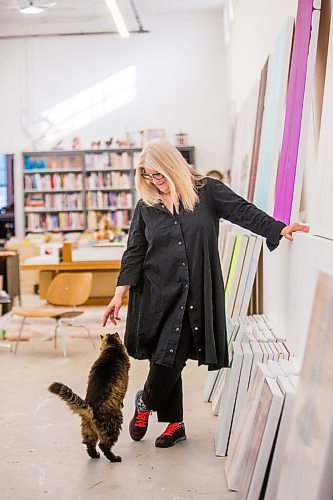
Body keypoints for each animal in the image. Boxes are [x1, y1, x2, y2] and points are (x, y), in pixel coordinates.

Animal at [48, 334, 130, 462]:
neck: (111, 348)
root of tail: (90, 408)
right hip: (114, 424)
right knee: (103, 445)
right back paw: (114, 458)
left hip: (88, 429)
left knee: (89, 444)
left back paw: (95, 455)